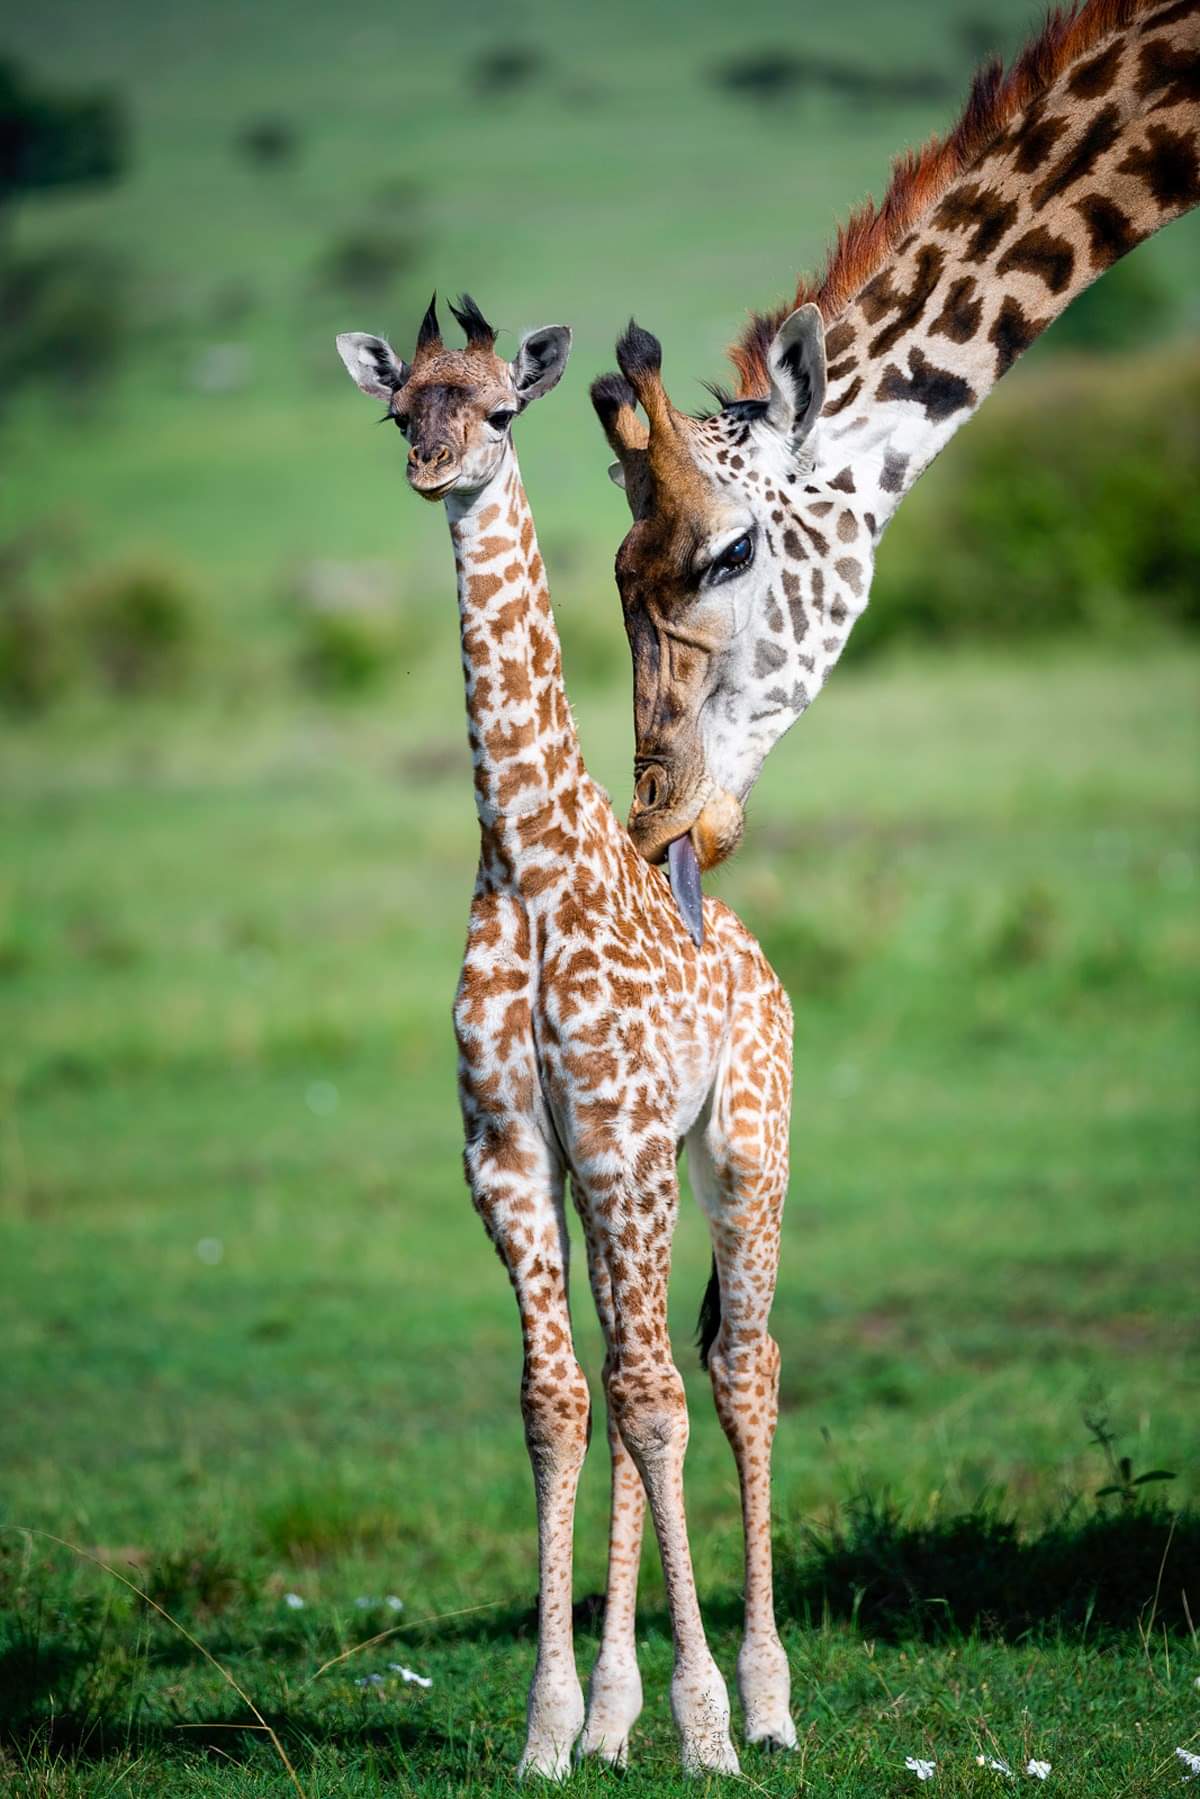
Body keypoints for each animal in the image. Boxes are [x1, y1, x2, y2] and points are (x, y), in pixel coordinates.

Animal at [338, 287, 798, 1777]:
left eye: (497, 407)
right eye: (400, 409)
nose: (435, 471)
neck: (529, 860)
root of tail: (763, 956)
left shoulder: (619, 1134)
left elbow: (655, 1400)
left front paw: (706, 1724)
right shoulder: (511, 1149)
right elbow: (560, 1403)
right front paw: (550, 1725)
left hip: (742, 1149)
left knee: (739, 1364)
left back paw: (769, 1704)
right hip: (629, 1180)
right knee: (633, 1362)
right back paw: (609, 1715)